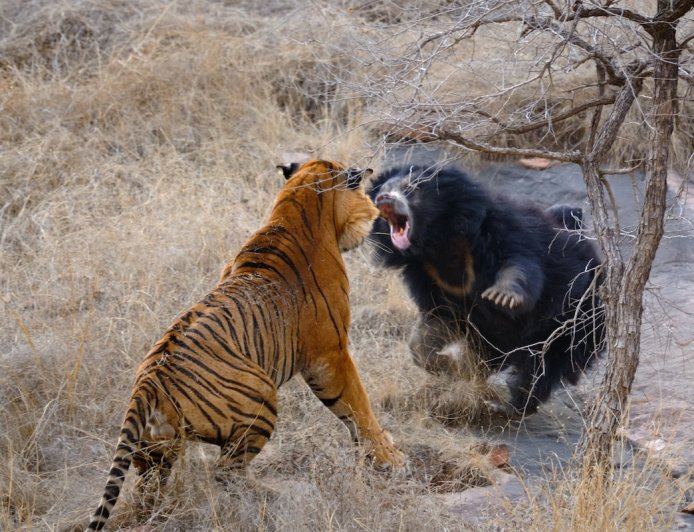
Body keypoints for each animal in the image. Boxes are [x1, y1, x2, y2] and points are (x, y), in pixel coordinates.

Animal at [83, 159, 405, 531]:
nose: (375, 213)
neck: (294, 208)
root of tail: (147, 382)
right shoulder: (330, 354)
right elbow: (358, 406)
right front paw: (390, 458)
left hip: (155, 450)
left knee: (151, 489)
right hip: (261, 398)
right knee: (226, 471)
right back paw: (275, 495)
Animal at [367, 162, 605, 416]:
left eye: (410, 189)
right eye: (384, 190)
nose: (383, 199)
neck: (438, 242)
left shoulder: (501, 231)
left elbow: (520, 265)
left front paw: (502, 297)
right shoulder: (427, 276)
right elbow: (435, 323)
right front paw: (451, 366)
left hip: (575, 321)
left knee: (542, 367)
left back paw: (509, 406)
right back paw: (475, 371)